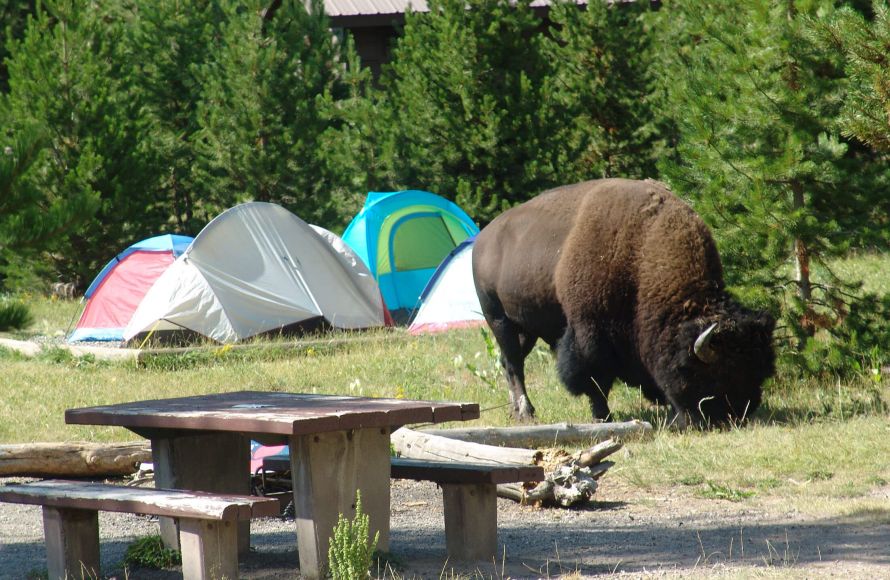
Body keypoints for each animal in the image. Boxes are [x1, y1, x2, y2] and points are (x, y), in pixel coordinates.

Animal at [472, 179, 772, 428]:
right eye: (717, 374)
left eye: (758, 371)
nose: (737, 414)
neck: (641, 256)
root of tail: (483, 239)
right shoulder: (589, 335)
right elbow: (595, 381)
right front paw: (603, 417)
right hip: (499, 320)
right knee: (514, 365)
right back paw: (526, 413)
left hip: (526, 329)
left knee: (508, 362)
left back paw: (516, 411)